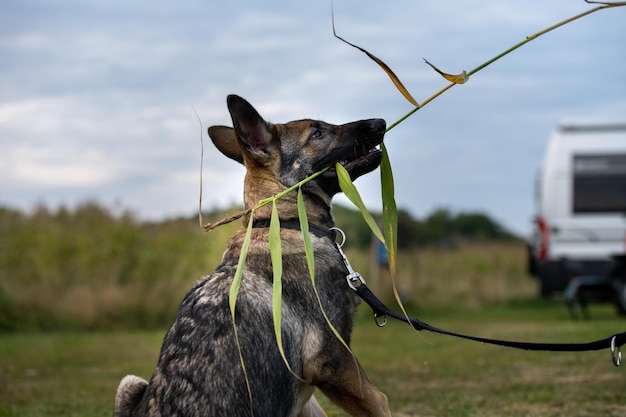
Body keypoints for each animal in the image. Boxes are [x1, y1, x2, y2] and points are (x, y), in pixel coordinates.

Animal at [109, 95, 388, 416]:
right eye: (317, 133)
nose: (381, 122)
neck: (281, 220)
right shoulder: (332, 358)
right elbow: (380, 401)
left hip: (129, 384)